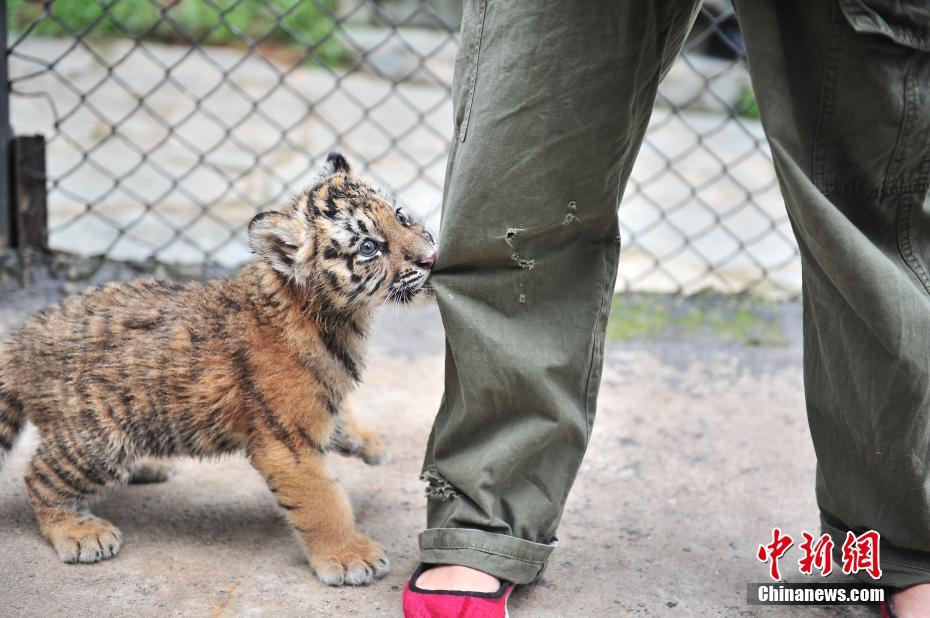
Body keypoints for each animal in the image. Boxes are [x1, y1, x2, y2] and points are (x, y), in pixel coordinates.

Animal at [0, 153, 437, 586]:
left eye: (401, 215)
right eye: (369, 247)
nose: (431, 259)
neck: (341, 318)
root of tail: (23, 337)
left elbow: (341, 416)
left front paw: (368, 442)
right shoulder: (286, 442)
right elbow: (322, 500)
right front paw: (349, 556)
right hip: (98, 438)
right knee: (39, 478)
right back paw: (79, 532)